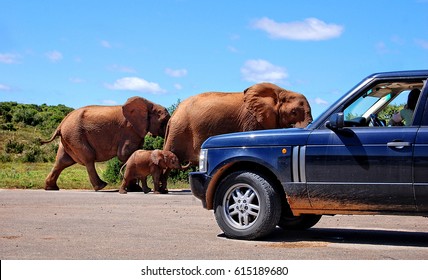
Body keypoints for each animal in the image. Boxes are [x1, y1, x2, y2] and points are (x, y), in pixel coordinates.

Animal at [41, 95, 171, 190]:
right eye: (164, 121)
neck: (148, 104)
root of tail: (61, 124)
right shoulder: (129, 130)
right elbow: (125, 154)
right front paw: (134, 189)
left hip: (69, 138)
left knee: (62, 161)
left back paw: (51, 188)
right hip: (75, 135)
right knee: (88, 157)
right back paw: (101, 186)